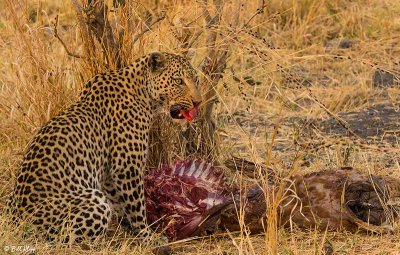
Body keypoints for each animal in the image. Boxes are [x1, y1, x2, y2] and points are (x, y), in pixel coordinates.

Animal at [8, 51, 203, 243]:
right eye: (178, 81)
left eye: (195, 79)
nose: (198, 102)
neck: (143, 93)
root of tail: (16, 221)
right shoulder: (127, 168)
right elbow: (137, 206)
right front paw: (147, 236)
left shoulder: (110, 174)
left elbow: (120, 202)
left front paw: (129, 228)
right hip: (94, 200)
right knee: (64, 237)